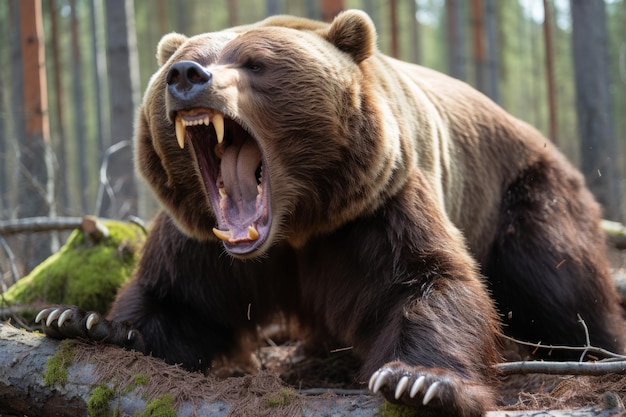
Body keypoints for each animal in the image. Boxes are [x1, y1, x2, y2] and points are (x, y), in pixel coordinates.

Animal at [39, 9, 624, 416]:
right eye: (173, 66)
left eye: (255, 63)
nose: (185, 74)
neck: (294, 227)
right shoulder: (202, 237)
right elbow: (178, 298)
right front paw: (80, 320)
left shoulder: (377, 206)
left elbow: (430, 281)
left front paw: (419, 380)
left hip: (523, 191)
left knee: (559, 279)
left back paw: (596, 352)